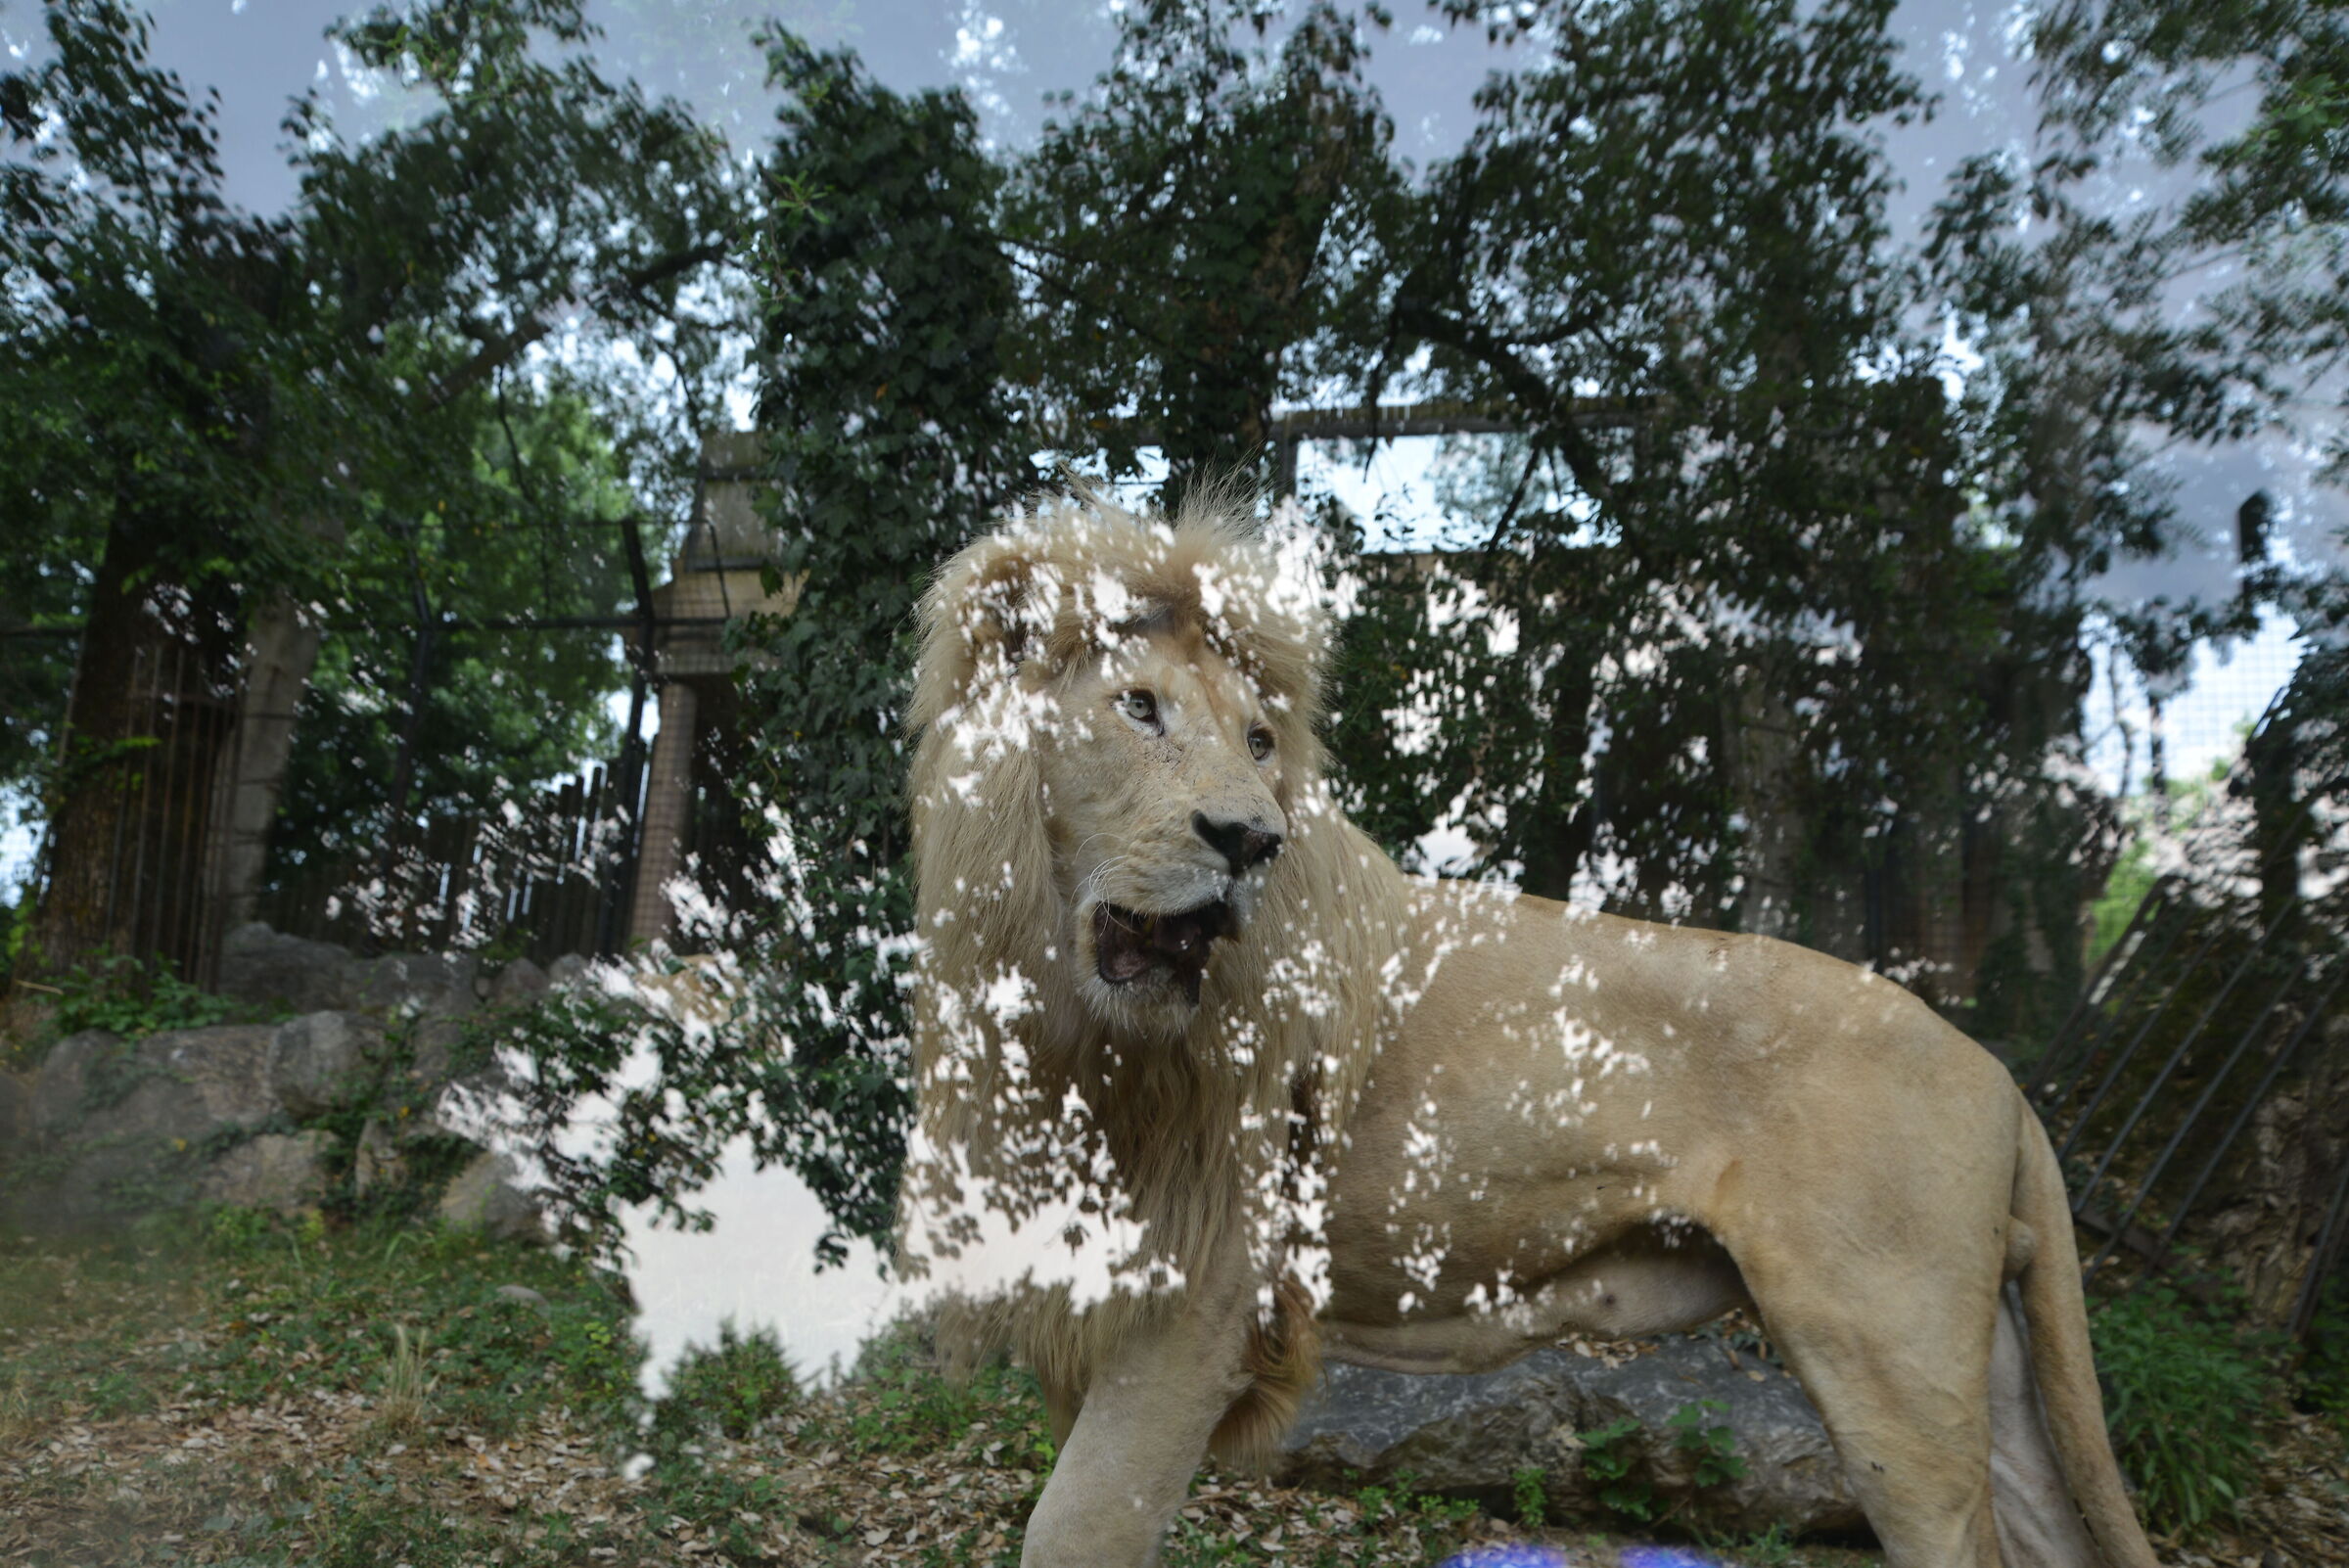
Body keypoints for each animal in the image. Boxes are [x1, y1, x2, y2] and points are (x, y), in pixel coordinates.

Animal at [894, 489, 2161, 1568]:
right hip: (1983, 1363)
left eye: (1259, 742)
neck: (1068, 1015)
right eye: (1138, 706)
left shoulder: (1201, 1301)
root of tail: (1995, 1071)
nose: (1250, 839)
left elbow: (1074, 1527)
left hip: (1889, 1363)